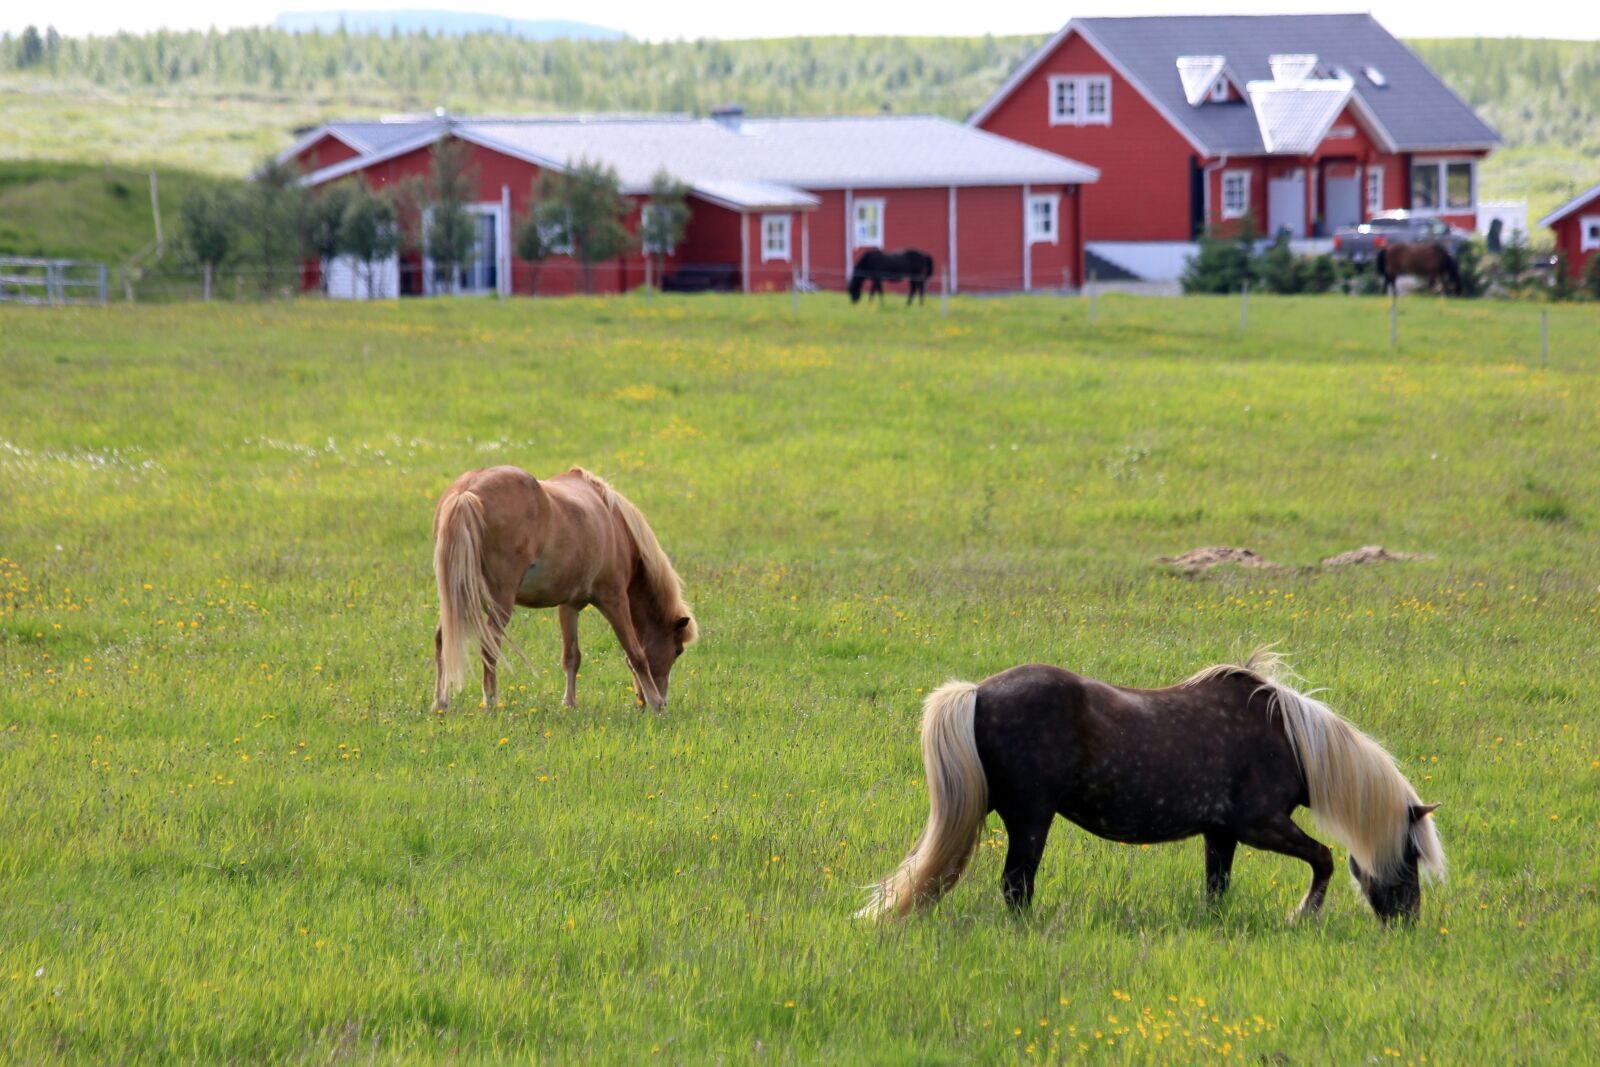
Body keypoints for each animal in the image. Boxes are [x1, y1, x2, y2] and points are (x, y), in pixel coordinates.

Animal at [432, 466, 697, 712]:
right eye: (677, 650)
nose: (656, 699)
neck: (614, 523)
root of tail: (466, 491)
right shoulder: (614, 599)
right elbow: (636, 654)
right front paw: (657, 705)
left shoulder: (569, 606)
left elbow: (572, 656)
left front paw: (569, 703)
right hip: (500, 604)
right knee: (489, 646)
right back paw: (491, 702)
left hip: (457, 600)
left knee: (442, 640)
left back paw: (441, 703)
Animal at [860, 648, 1444, 925]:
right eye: (1412, 855)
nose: (1407, 924)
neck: (1290, 740)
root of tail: (978, 692)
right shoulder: (1260, 825)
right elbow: (1322, 859)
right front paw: (1302, 915)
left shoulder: (1221, 833)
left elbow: (1216, 888)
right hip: (1031, 819)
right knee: (1016, 887)